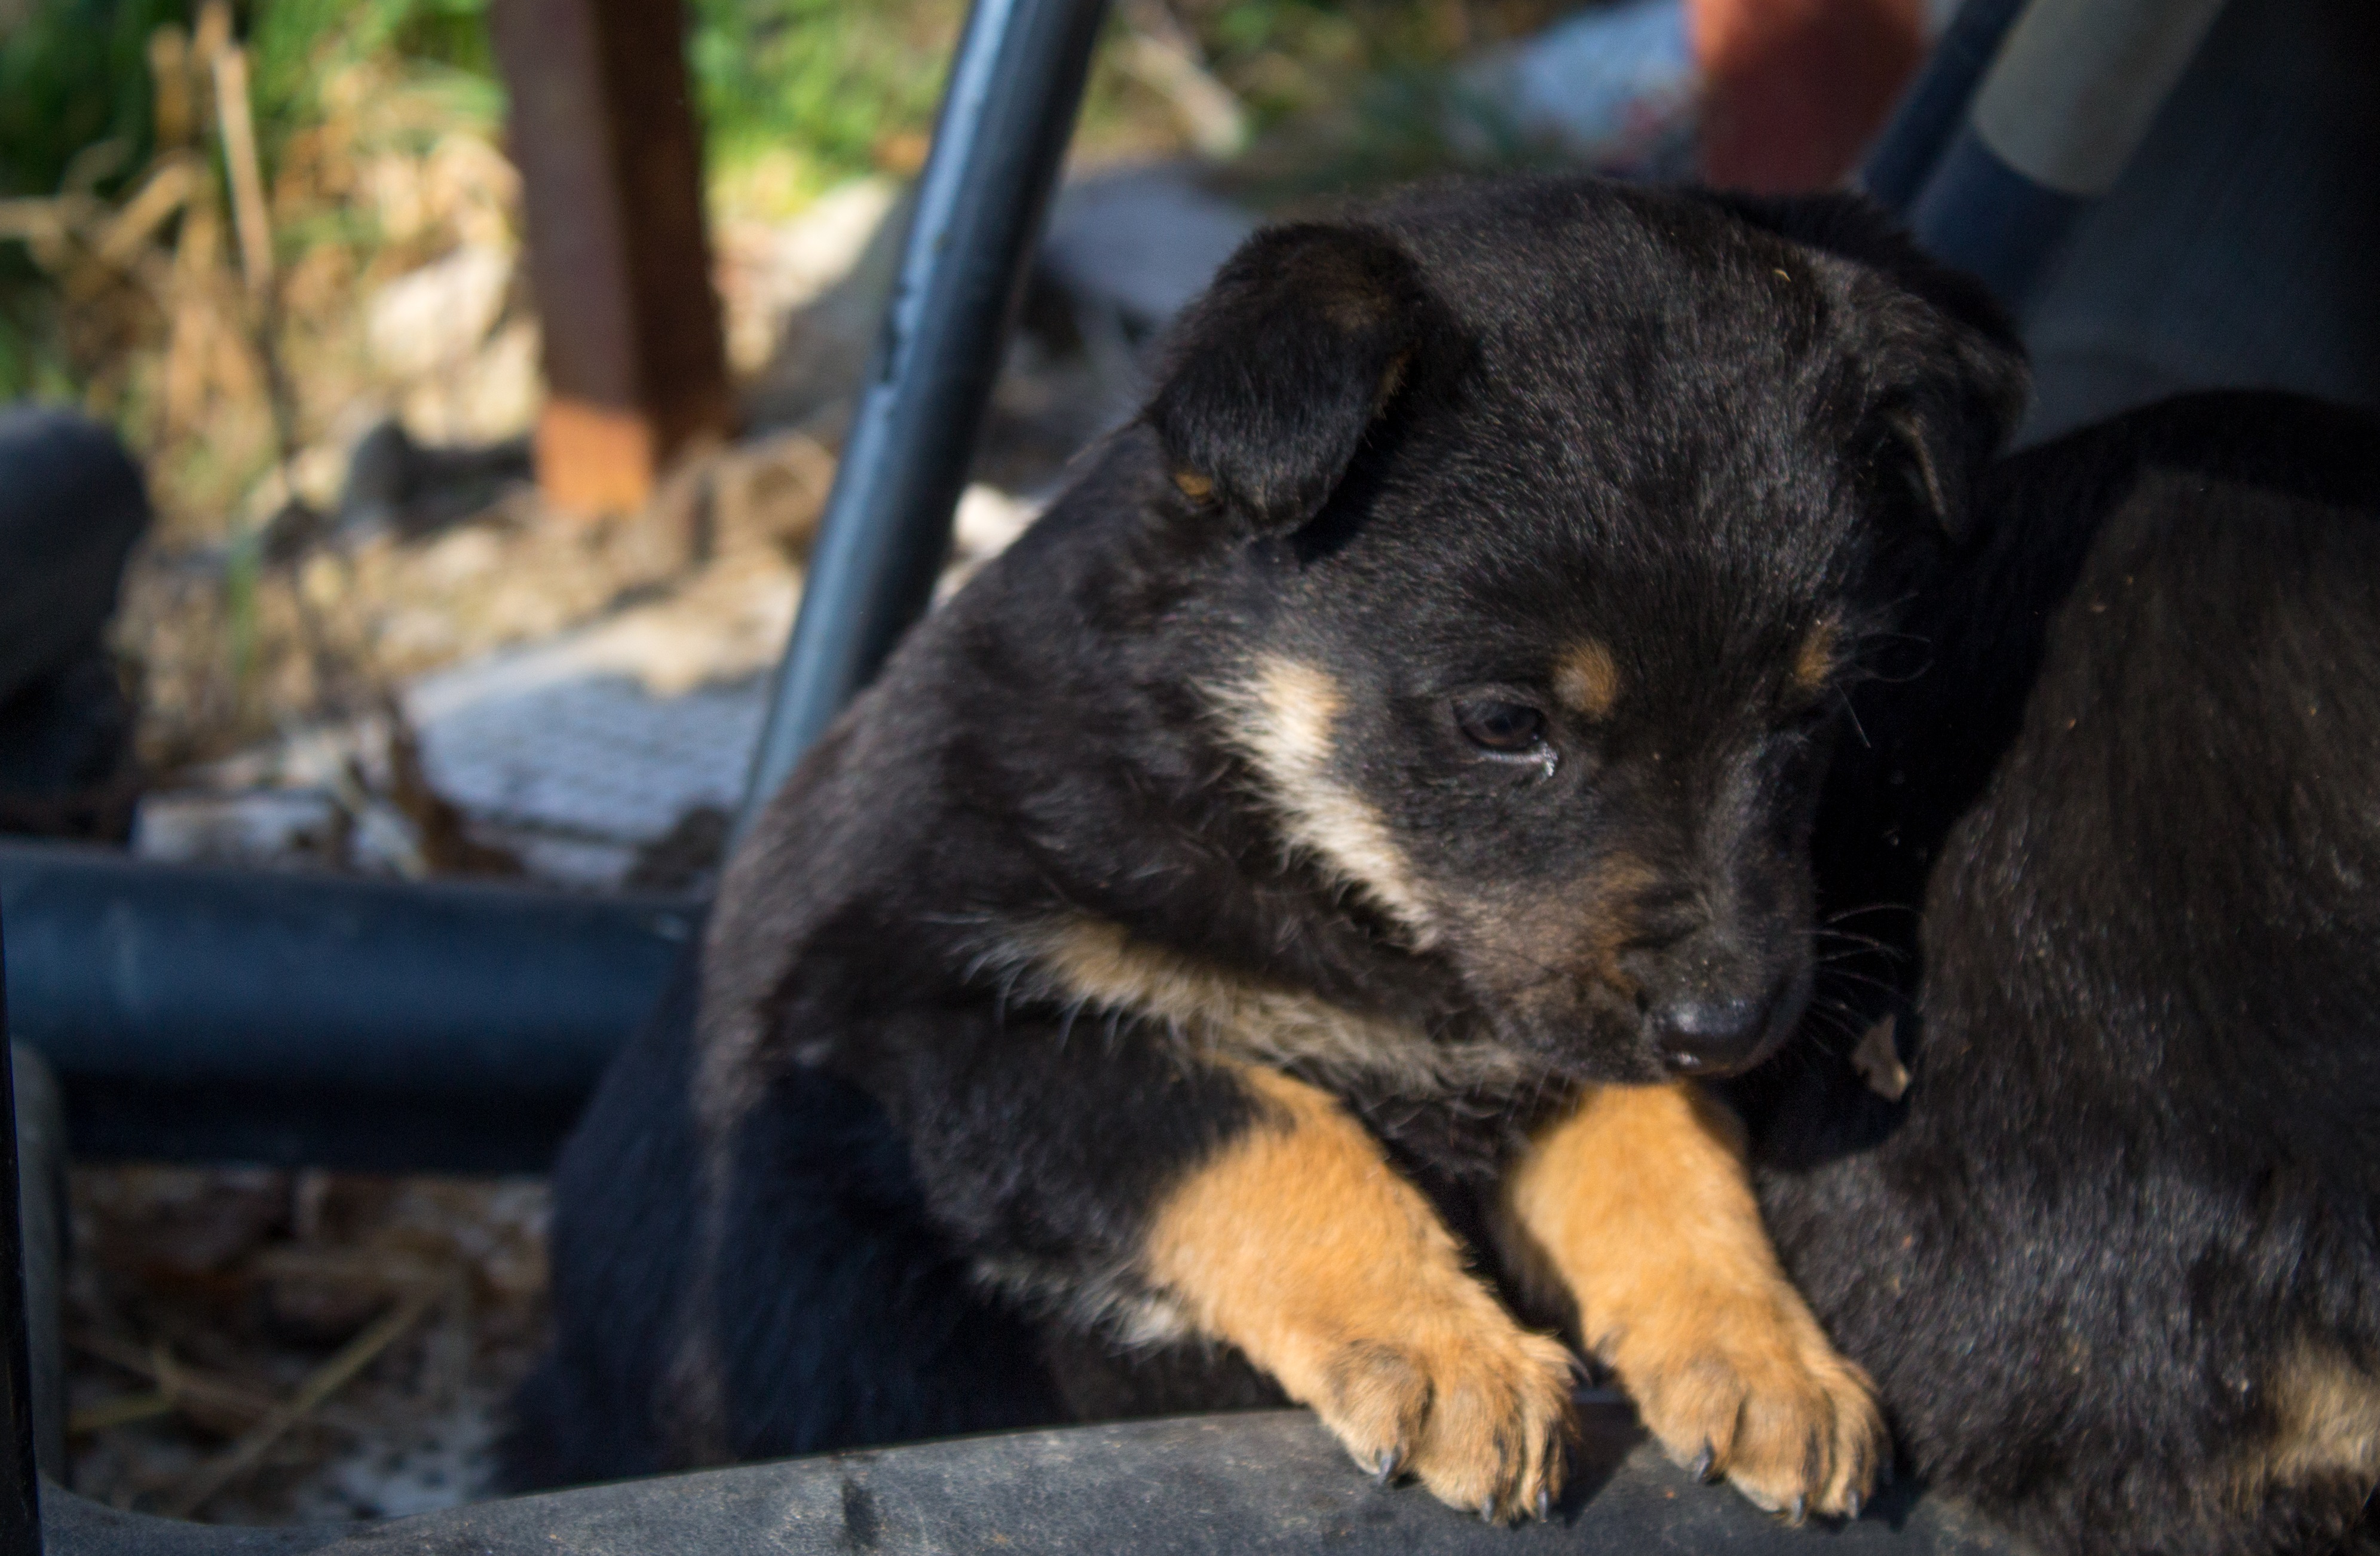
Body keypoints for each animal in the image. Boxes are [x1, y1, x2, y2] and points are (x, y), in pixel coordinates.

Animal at [507, 173, 2027, 1523]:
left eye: (1813, 712)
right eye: (1503, 723)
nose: (1733, 1026)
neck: (1283, 828)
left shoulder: (1537, 1015)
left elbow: (1657, 1145)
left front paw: (1760, 1350)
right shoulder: (936, 1025)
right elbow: (1271, 1121)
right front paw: (1444, 1351)